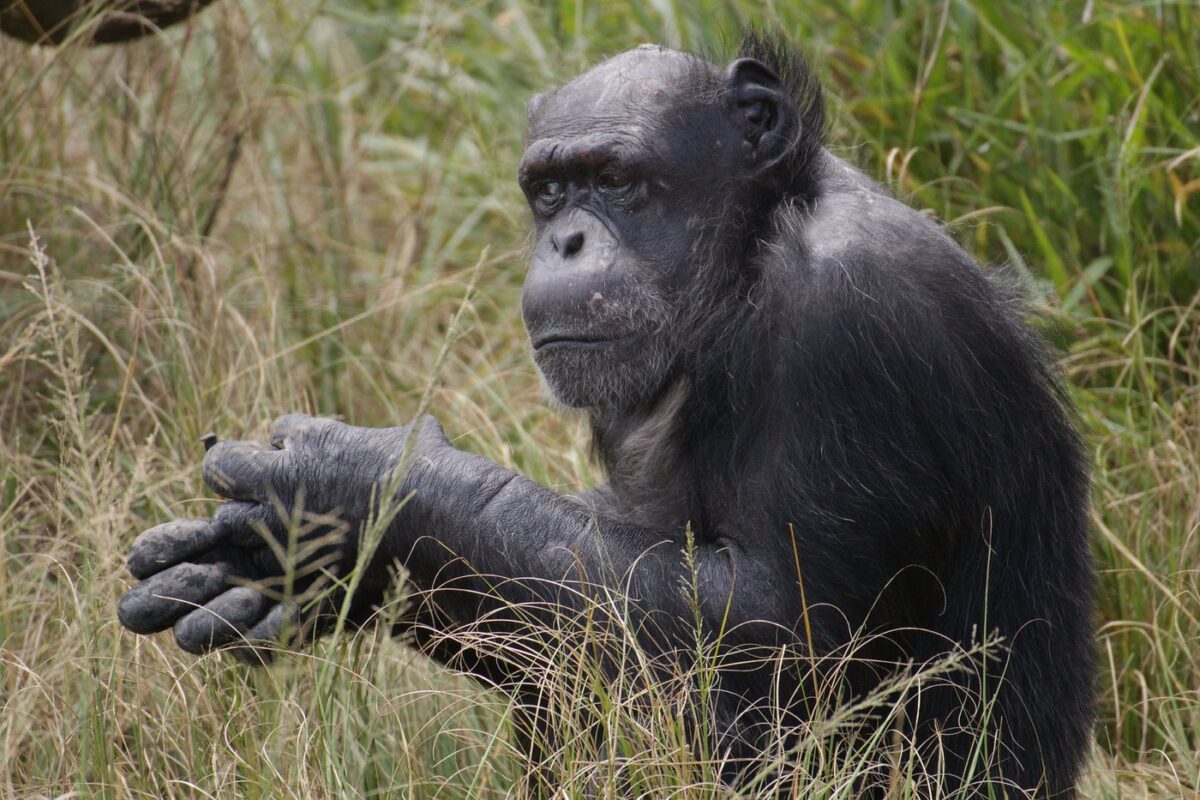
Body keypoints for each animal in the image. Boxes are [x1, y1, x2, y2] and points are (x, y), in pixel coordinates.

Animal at [117, 34, 1094, 796]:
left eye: (617, 178)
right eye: (549, 189)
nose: (567, 239)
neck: (747, 267)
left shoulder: (853, 325)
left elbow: (775, 628)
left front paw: (356, 487)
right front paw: (309, 568)